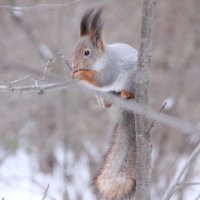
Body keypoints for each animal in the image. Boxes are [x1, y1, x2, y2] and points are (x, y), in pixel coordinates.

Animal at [71, 8, 138, 200]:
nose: (74, 64)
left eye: (87, 52)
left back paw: (126, 93)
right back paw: (107, 100)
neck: (102, 59)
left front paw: (80, 74)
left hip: (132, 81)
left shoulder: (110, 70)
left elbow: (101, 80)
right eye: (74, 49)